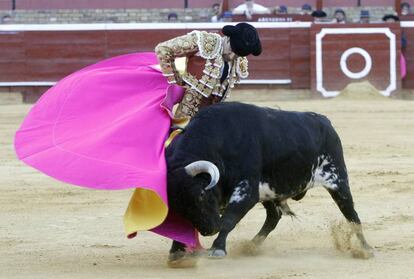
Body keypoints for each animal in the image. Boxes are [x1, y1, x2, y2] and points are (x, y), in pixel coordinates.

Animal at [167, 102, 374, 262]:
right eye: (176, 205)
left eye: (201, 194)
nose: (209, 230)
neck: (218, 142)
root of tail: (325, 122)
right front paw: (177, 252)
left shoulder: (247, 192)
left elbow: (229, 219)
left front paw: (217, 248)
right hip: (270, 192)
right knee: (274, 217)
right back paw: (251, 246)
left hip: (337, 180)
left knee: (351, 214)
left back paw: (366, 249)